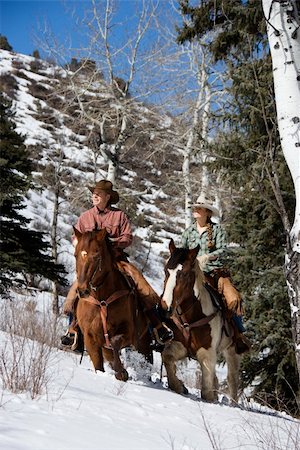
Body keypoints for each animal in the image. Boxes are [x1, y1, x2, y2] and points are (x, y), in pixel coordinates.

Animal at [73, 229, 152, 380]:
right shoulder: (90, 339)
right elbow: (99, 365)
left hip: (144, 344)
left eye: (96, 255)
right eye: (76, 255)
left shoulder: (128, 333)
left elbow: (114, 343)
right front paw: (119, 371)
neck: (102, 301)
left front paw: (121, 372)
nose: (83, 291)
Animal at [161, 241, 240, 402]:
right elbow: (167, 357)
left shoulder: (207, 354)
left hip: (231, 350)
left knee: (232, 379)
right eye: (166, 271)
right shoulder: (181, 346)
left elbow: (207, 392)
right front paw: (180, 386)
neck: (191, 317)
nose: (165, 308)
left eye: (184, 274)